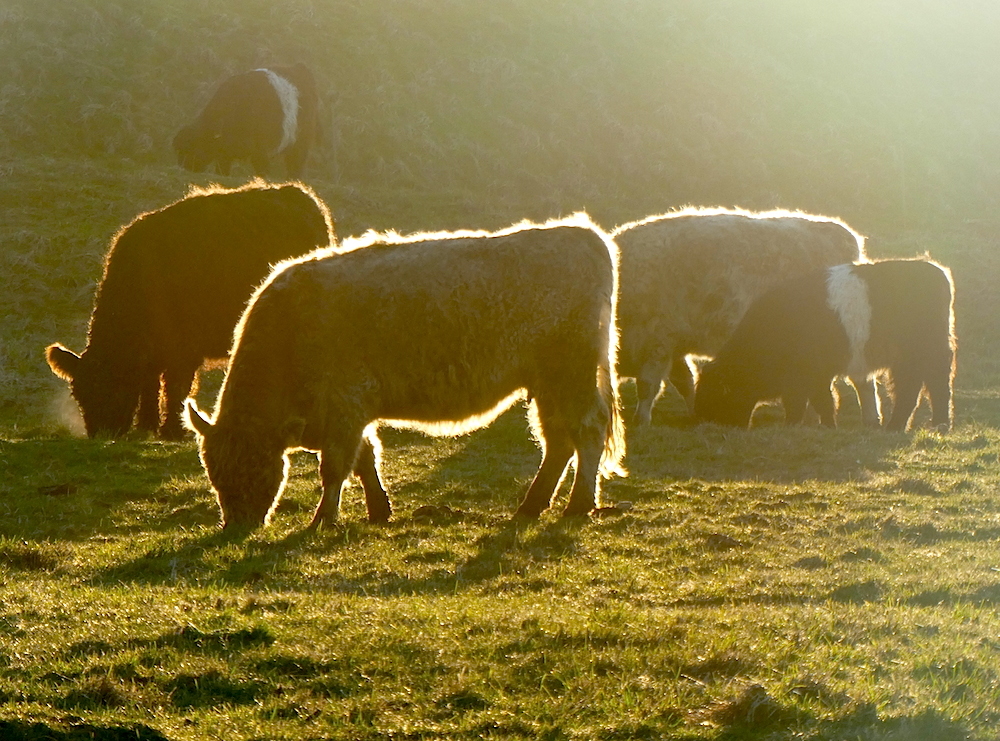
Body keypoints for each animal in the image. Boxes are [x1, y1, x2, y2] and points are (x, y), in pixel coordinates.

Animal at [45, 179, 332, 440]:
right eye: (80, 395)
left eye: (114, 387)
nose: (102, 434)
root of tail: (296, 192)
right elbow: (151, 386)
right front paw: (147, 426)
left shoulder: (184, 348)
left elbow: (177, 387)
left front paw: (172, 430)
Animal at [172, 62, 320, 178]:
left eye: (189, 149)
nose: (183, 168)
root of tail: (298, 67)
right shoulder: (225, 154)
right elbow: (222, 170)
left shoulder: (260, 150)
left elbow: (262, 171)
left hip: (301, 142)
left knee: (295, 166)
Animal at [182, 214, 624, 532]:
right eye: (214, 474)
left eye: (256, 468)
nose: (237, 526)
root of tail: (584, 234)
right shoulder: (349, 415)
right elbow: (365, 459)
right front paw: (379, 510)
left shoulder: (345, 407)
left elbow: (336, 467)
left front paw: (323, 520)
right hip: (548, 384)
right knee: (558, 441)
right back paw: (531, 506)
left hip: (572, 374)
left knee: (587, 430)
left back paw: (577, 506)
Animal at [612, 208, 864, 428]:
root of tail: (840, 233)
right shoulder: (674, 348)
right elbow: (686, 382)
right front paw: (695, 412)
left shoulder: (657, 344)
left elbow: (647, 386)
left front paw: (641, 420)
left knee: (861, 381)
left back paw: (869, 419)